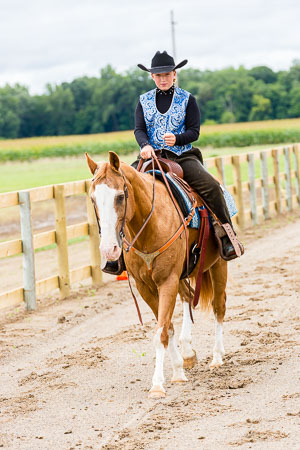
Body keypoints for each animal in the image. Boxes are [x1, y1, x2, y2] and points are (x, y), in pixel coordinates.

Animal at [85, 153, 226, 400]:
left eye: (120, 196)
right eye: (93, 199)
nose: (110, 249)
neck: (150, 224)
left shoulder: (167, 280)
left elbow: (160, 332)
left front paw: (158, 384)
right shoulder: (145, 286)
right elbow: (167, 328)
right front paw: (178, 370)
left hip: (218, 265)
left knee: (219, 307)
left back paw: (217, 357)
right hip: (183, 275)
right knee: (188, 297)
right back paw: (188, 352)